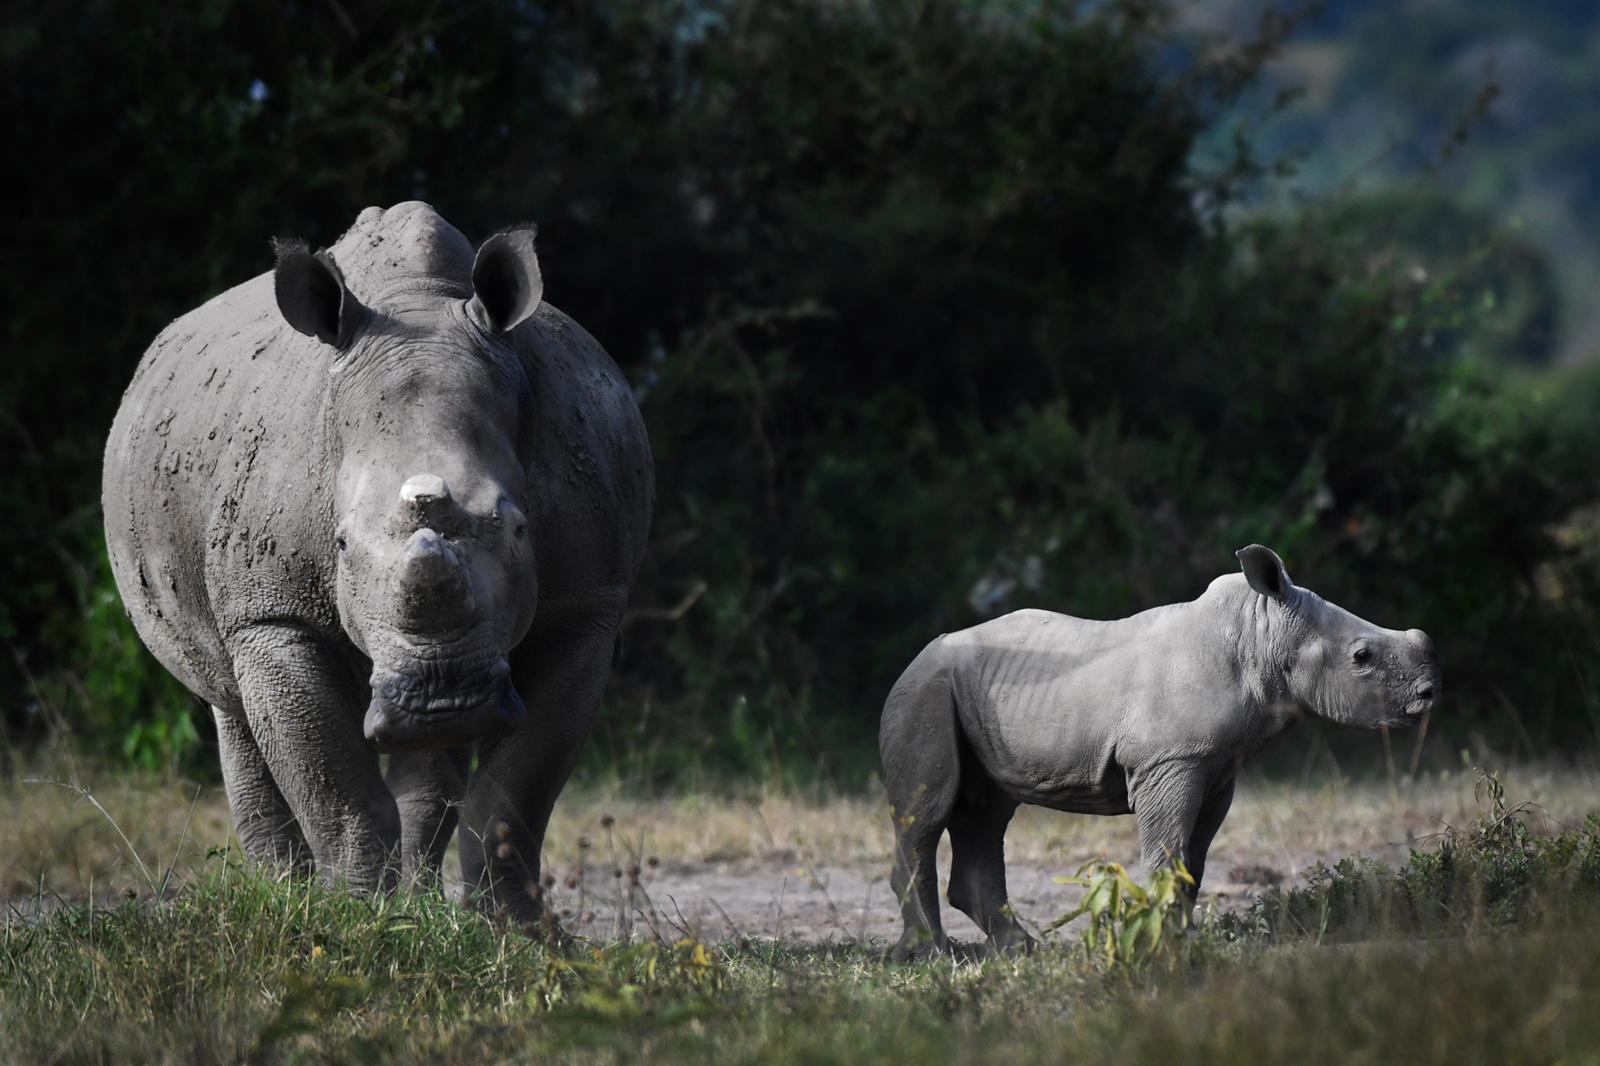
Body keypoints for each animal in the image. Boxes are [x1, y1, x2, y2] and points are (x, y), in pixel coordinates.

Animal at [103, 202, 653, 921]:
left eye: (520, 529)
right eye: (340, 544)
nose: (442, 697)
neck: (418, 302)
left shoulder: (585, 607)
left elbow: (516, 794)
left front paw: (516, 931)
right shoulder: (273, 614)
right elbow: (337, 789)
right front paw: (352, 919)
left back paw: (414, 903)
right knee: (228, 703)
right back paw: (289, 897)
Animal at [879, 545, 1440, 960]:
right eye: (1362, 657)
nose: (1430, 693)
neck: (1261, 633)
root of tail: (914, 660)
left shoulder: (1216, 766)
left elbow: (1195, 857)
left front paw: (1181, 935)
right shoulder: (1171, 761)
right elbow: (1168, 850)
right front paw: (1162, 940)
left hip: (971, 694)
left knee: (988, 812)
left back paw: (1022, 949)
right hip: (925, 693)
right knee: (927, 815)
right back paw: (932, 954)